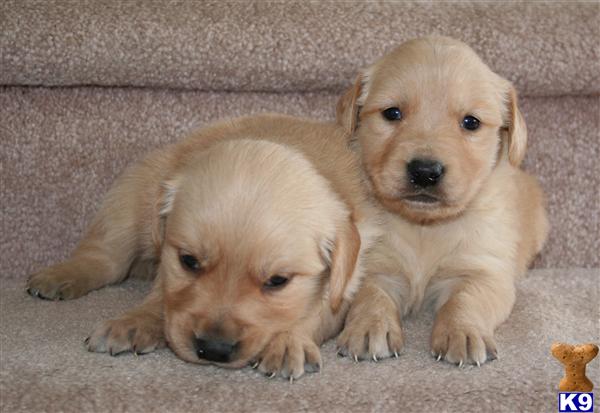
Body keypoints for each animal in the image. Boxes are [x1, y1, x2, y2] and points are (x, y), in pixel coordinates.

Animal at [25, 114, 380, 378]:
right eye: (189, 261)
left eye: (277, 281)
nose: (214, 349)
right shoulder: (167, 259)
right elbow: (161, 297)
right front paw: (135, 321)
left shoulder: (346, 281)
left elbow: (315, 313)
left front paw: (288, 340)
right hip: (132, 198)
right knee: (106, 257)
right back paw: (58, 276)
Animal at [336, 34, 548, 364]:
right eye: (392, 113)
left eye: (471, 122)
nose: (425, 172)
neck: (425, 227)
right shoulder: (372, 266)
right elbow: (371, 295)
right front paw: (370, 328)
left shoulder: (484, 271)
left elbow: (465, 300)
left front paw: (463, 332)